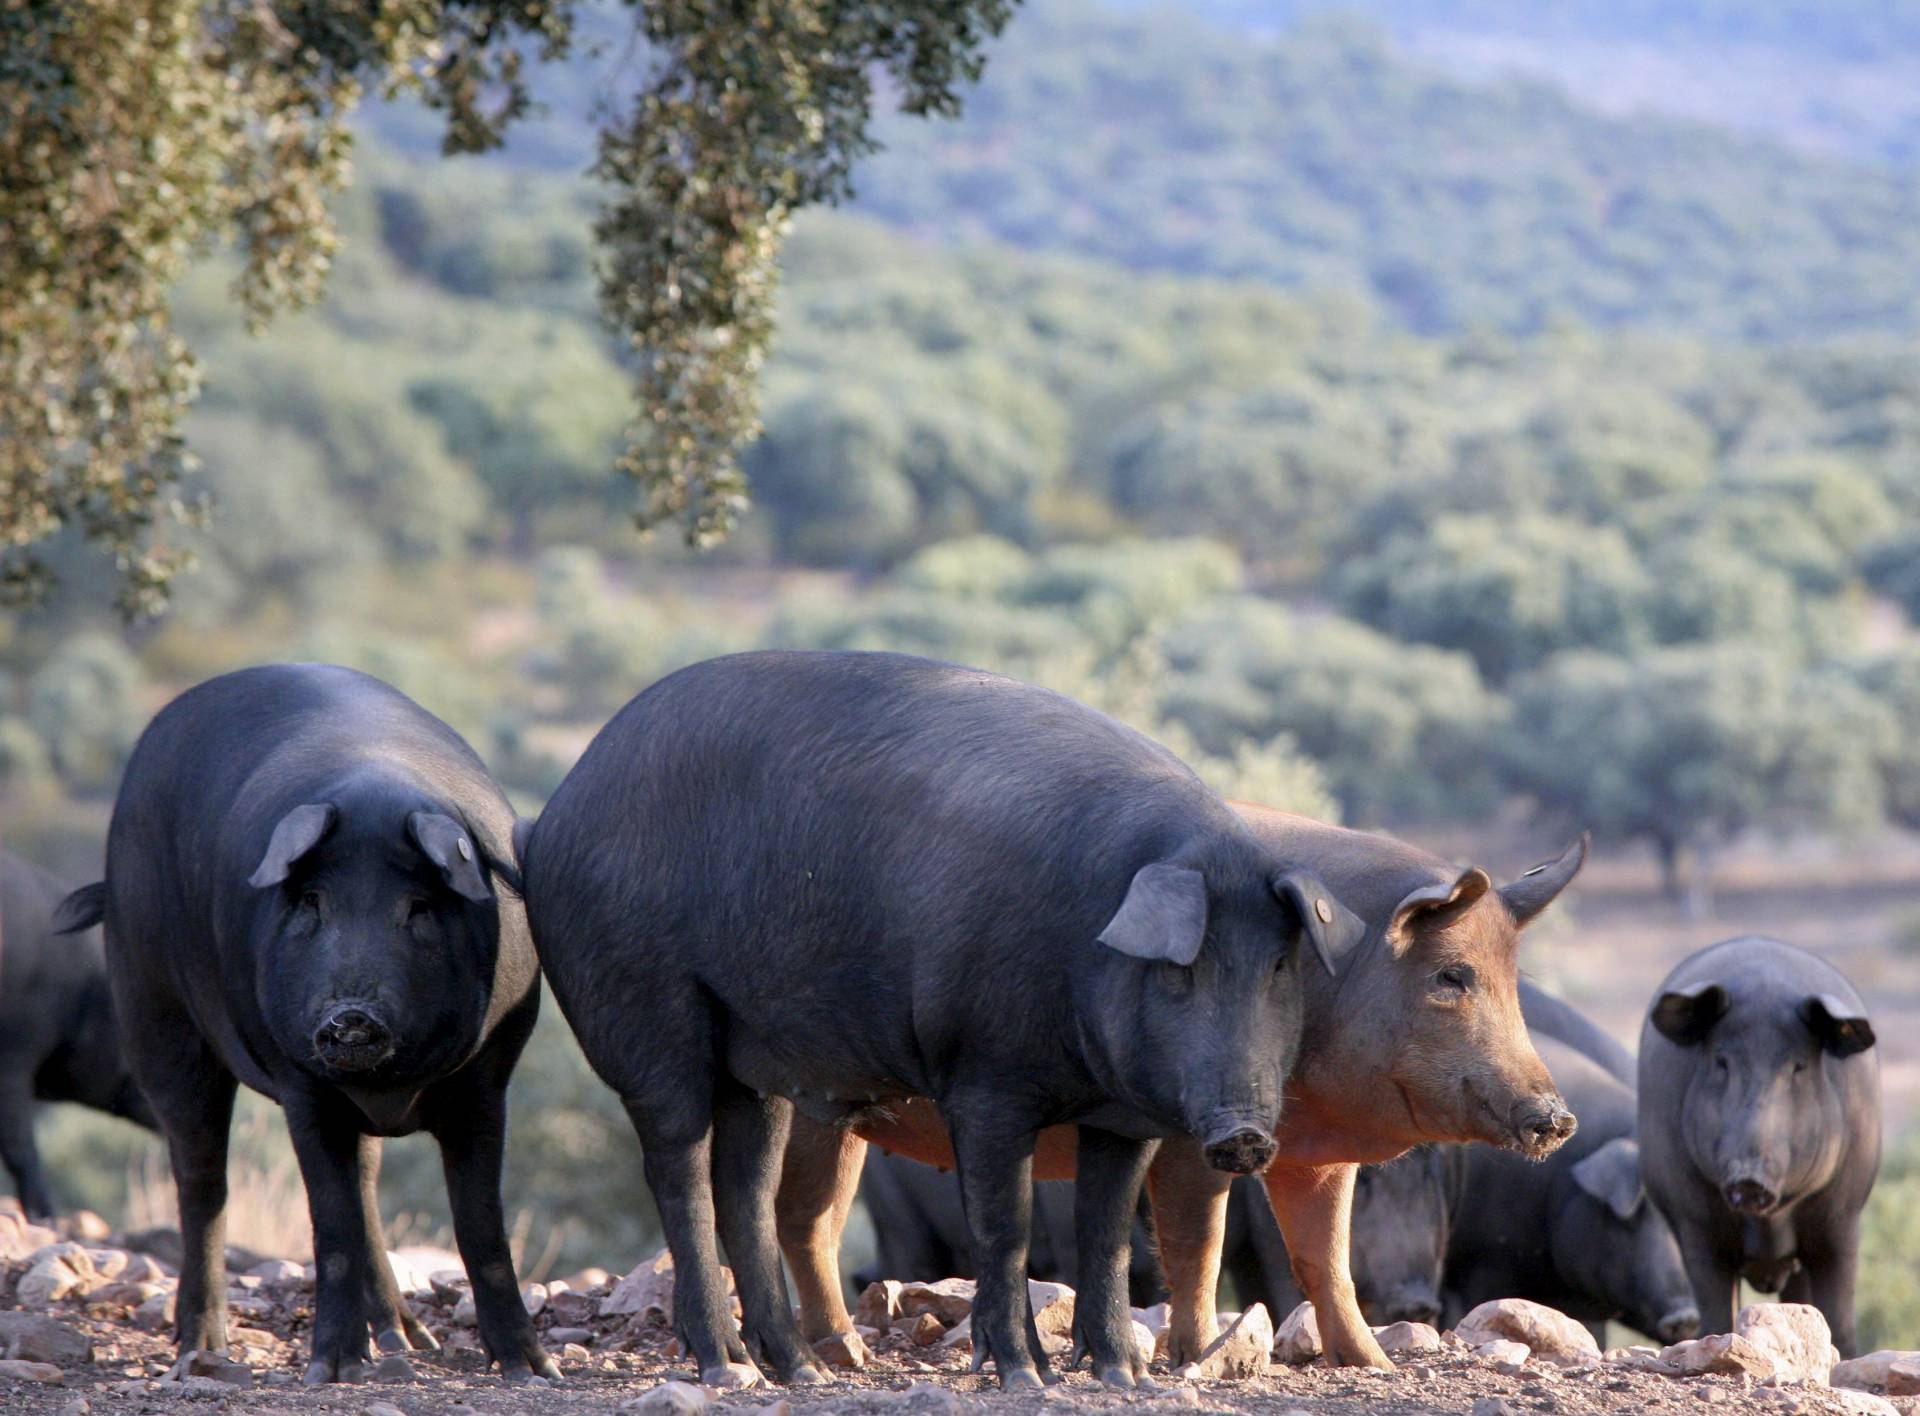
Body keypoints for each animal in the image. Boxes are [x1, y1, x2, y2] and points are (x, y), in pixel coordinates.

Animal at [526, 652, 1367, 1389]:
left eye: (1279, 967)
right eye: (1180, 969)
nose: (1245, 1135)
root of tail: (555, 813)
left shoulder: (1120, 1116)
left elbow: (1103, 1239)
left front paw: (1123, 1379)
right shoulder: (983, 1077)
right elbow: (1006, 1226)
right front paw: (1027, 1378)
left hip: (750, 1060)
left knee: (746, 1187)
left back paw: (796, 1372)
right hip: (644, 1011)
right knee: (677, 1168)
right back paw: (725, 1370)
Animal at [771, 805, 1582, 1366]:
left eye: (1512, 983)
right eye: (1451, 977)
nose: (1557, 1116)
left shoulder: (1317, 1157)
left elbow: (1326, 1260)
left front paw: (1373, 1365)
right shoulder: (1197, 1137)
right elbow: (1201, 1240)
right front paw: (1199, 1357)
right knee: (801, 1219)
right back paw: (840, 1354)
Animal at [1628, 932, 1881, 1350]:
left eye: (1798, 1066)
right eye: (1722, 1062)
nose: (1749, 1178)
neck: (1768, 1225)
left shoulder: (1843, 1216)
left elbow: (1840, 1317)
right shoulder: (1694, 1222)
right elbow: (1715, 1311)